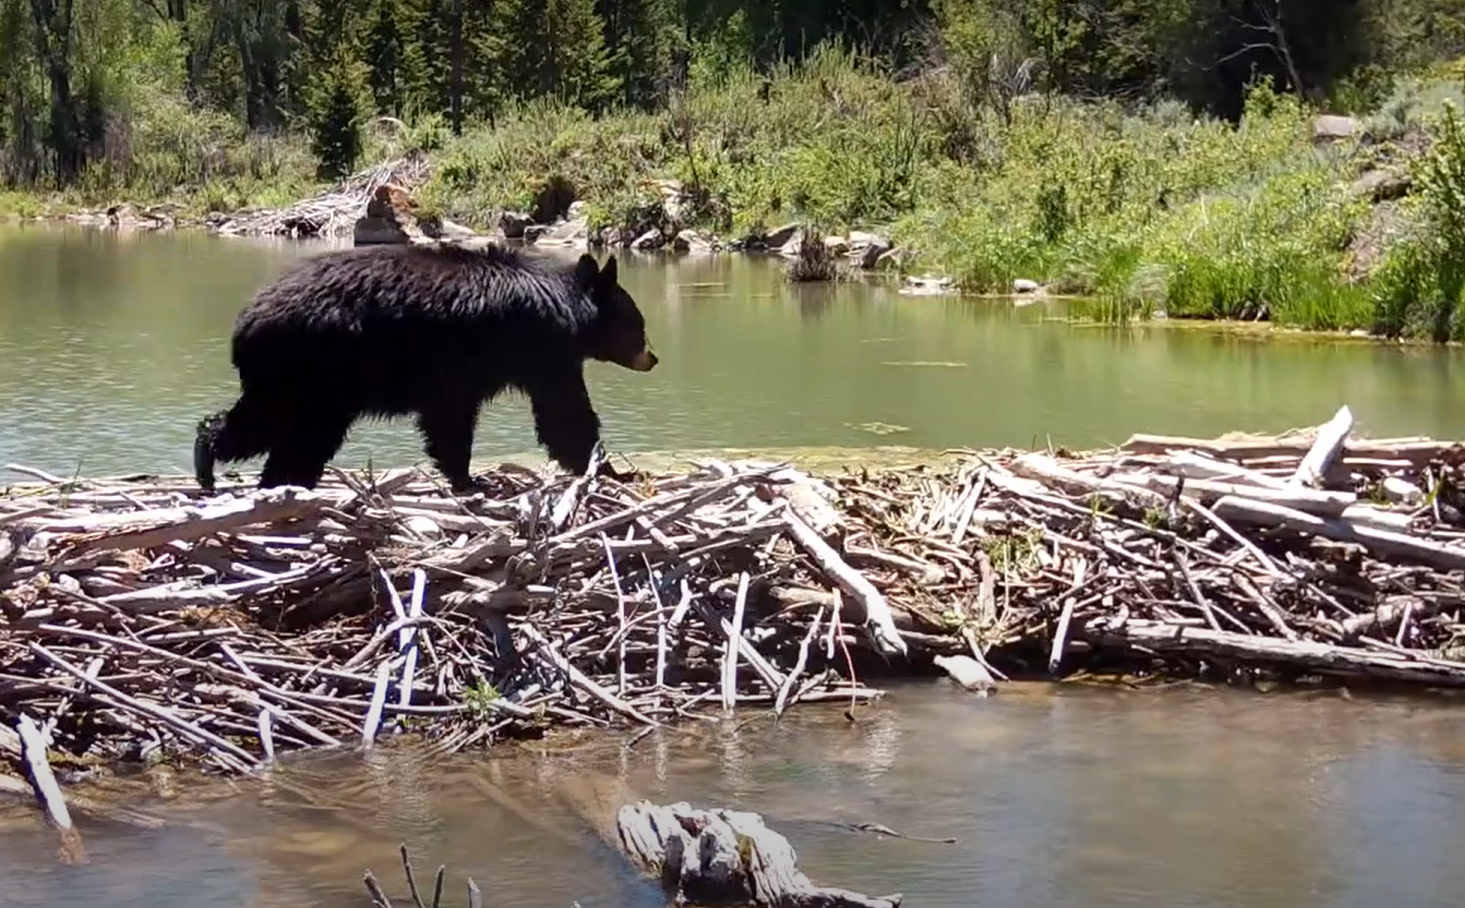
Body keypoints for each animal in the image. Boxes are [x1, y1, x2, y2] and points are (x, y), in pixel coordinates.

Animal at [192, 242, 657, 494]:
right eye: (639, 324)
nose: (652, 358)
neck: (565, 305)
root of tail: (245, 321)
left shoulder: (476, 372)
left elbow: (453, 419)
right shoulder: (541, 351)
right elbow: (564, 415)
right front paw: (611, 470)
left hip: (302, 382)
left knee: (278, 431)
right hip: (310, 370)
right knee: (289, 430)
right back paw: (218, 467)